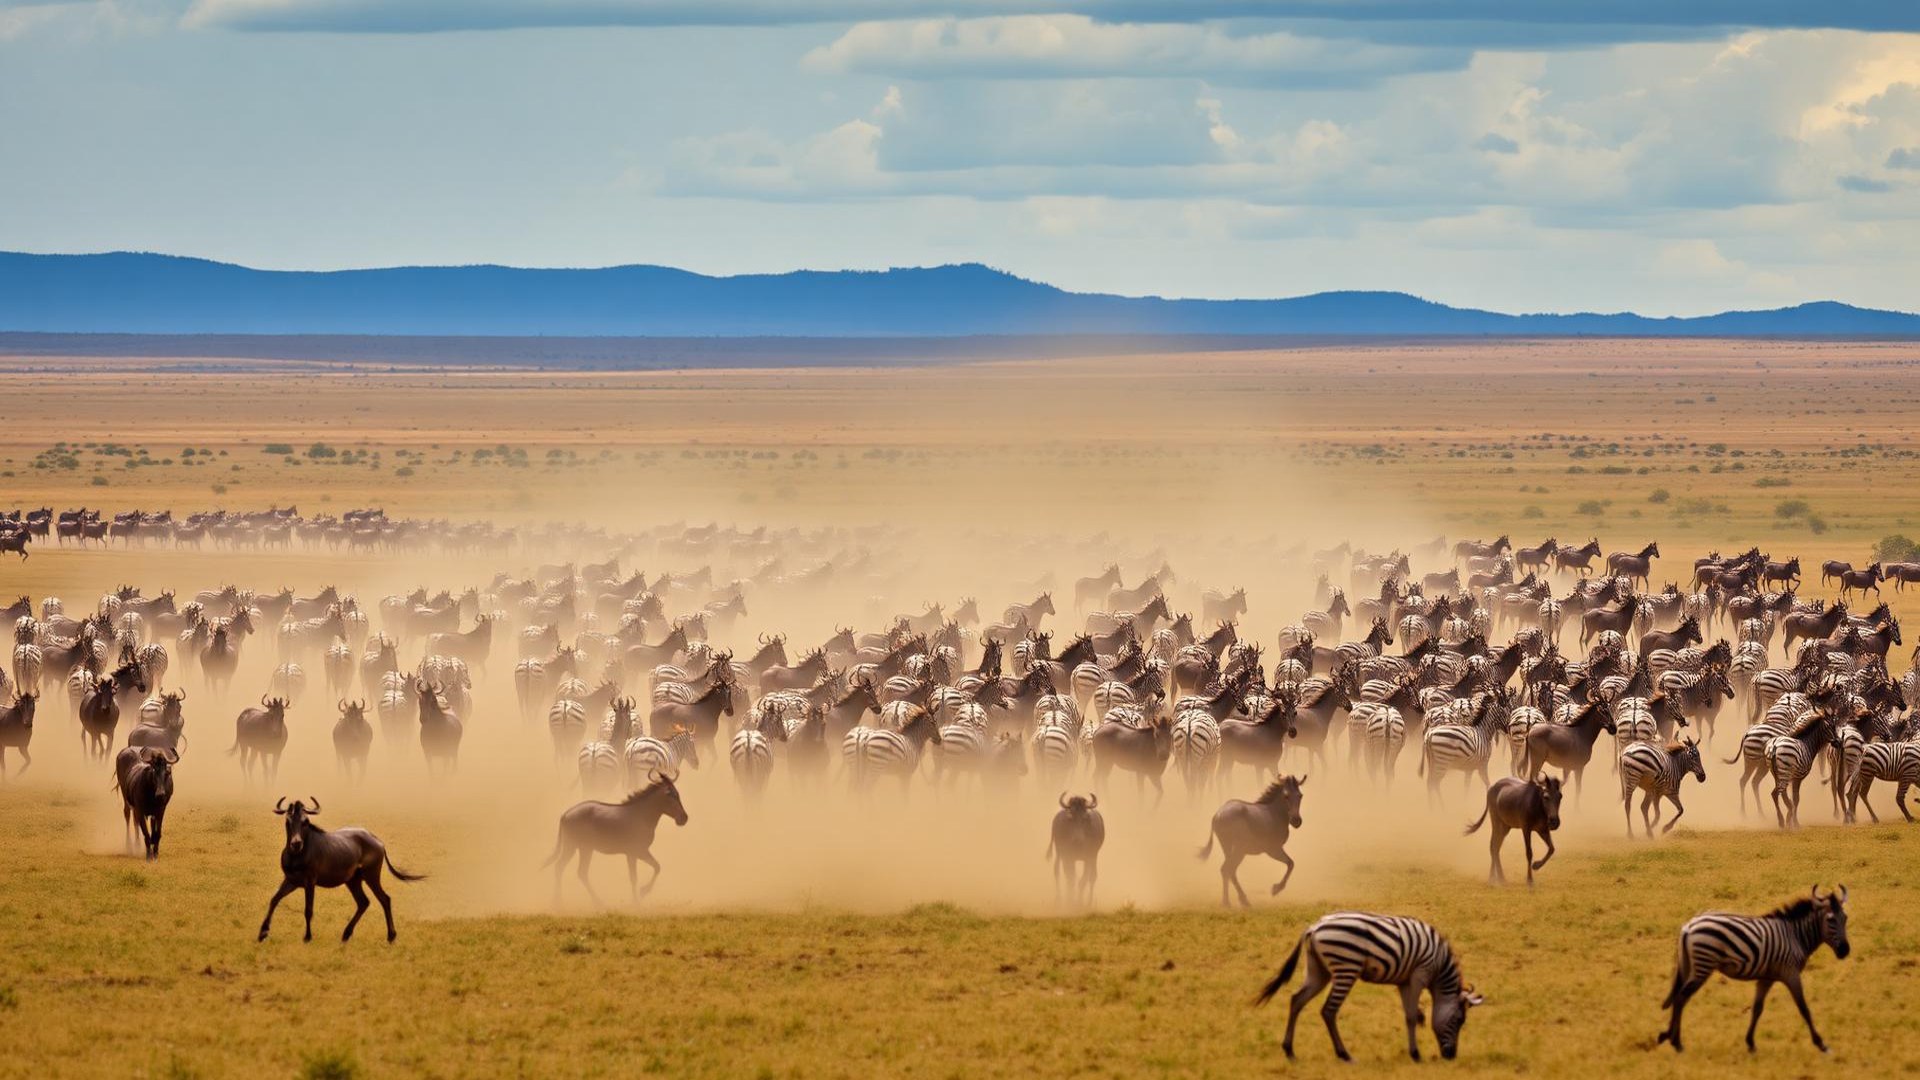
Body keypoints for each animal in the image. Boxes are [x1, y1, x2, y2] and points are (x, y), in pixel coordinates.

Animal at [1256, 912, 1483, 1062]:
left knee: (1297, 1000)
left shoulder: (1404, 981)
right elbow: (1412, 1015)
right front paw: (1416, 1054)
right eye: (1459, 1021)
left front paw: (1413, 1052)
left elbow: (1409, 1016)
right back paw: (1344, 1054)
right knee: (1328, 1010)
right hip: (1346, 968)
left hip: (1318, 970)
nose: (1451, 1056)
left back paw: (1289, 1050)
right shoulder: (1420, 974)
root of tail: (1314, 927)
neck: (1439, 966)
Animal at [1657, 887, 1850, 1053]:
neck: (1796, 937)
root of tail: (1689, 926)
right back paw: (1676, 1042)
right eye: (1831, 920)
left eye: (1845, 918)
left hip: (1690, 965)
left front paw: (1750, 1043)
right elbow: (1803, 1008)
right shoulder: (1791, 973)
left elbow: (1757, 1009)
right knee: (1681, 997)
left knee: (1679, 996)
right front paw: (1821, 1044)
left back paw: (1667, 1036)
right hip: (1703, 965)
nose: (1845, 951)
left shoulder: (1766, 978)